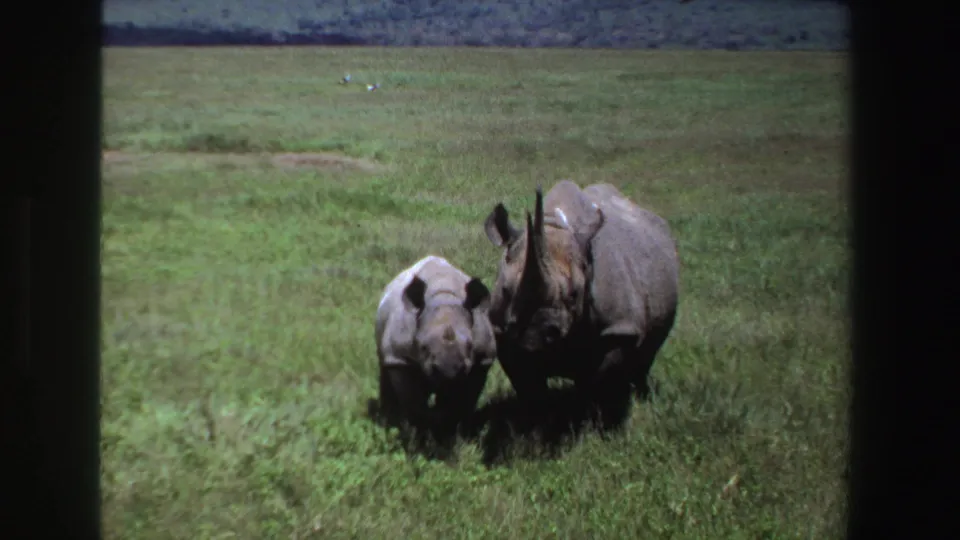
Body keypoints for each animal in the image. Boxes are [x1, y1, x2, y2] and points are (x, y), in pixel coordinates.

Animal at [374, 255, 497, 436]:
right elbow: (413, 403)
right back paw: (388, 420)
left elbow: (465, 401)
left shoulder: (482, 361)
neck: (444, 296)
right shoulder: (400, 358)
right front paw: (420, 432)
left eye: (470, 346)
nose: (449, 369)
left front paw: (453, 430)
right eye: (422, 346)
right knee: (384, 366)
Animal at [482, 180, 680, 427]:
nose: (534, 333)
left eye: (575, 294)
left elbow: (598, 380)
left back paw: (639, 395)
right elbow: (530, 388)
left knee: (648, 352)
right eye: (506, 291)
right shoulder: (503, 331)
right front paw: (538, 424)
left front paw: (591, 423)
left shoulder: (618, 328)